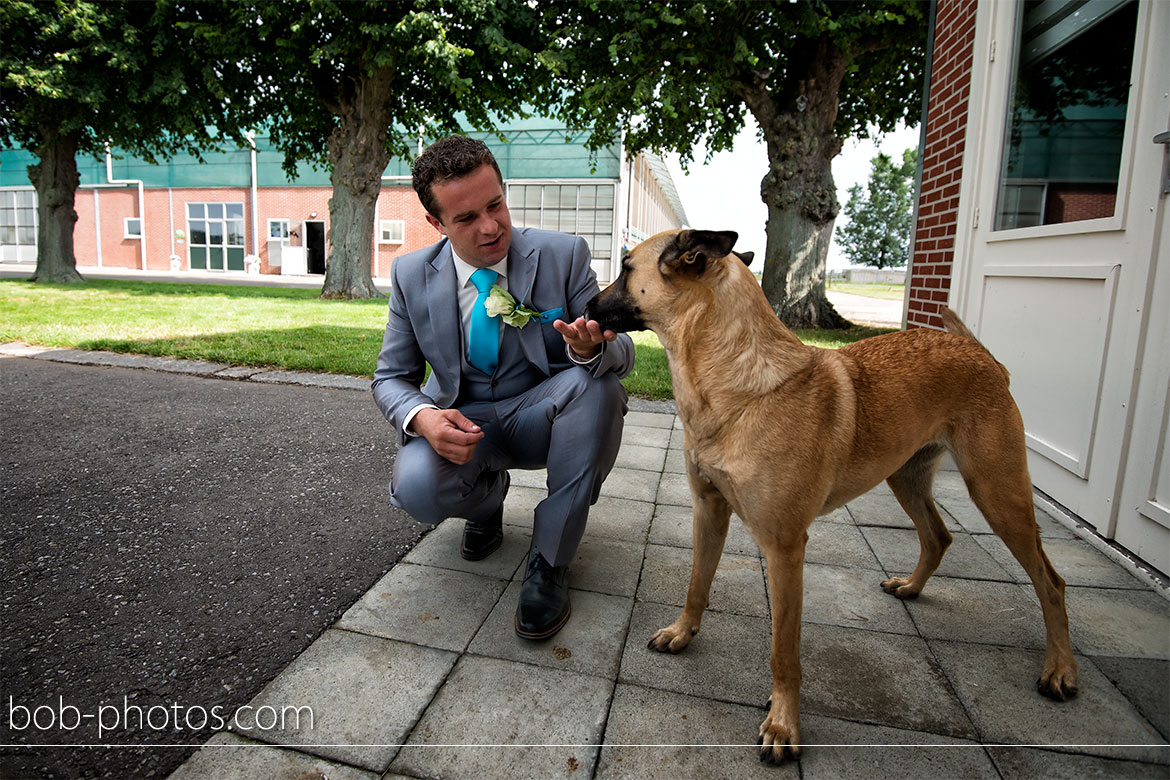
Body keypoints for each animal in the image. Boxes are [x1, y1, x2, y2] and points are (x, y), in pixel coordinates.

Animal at [585, 230, 1076, 762]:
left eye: (626, 268)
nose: (584, 305)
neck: (735, 378)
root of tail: (984, 355)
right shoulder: (709, 510)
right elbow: (698, 583)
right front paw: (682, 632)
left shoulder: (784, 549)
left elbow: (784, 651)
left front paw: (783, 724)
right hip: (906, 479)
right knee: (939, 536)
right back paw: (912, 587)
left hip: (997, 493)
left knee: (1051, 581)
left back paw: (1060, 669)